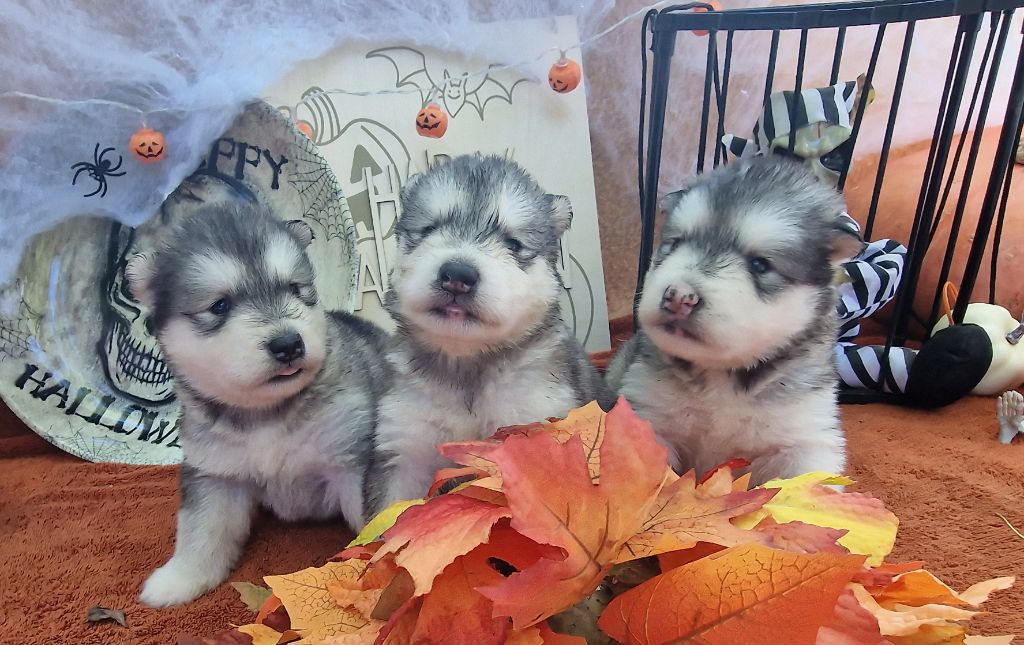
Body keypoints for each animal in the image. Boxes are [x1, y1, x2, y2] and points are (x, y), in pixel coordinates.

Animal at [129, 204, 391, 610]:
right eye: (220, 305)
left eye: (295, 290)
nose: (288, 344)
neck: (266, 415)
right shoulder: (215, 474)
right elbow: (200, 529)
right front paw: (180, 578)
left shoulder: (352, 461)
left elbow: (376, 520)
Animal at [366, 154, 606, 513]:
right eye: (429, 229)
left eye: (513, 244)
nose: (457, 275)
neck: (467, 365)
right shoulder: (405, 448)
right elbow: (391, 517)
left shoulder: (530, 427)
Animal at [606, 156, 864, 487]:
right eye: (675, 244)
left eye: (760, 265)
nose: (678, 296)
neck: (721, 378)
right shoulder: (650, 418)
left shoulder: (804, 439)